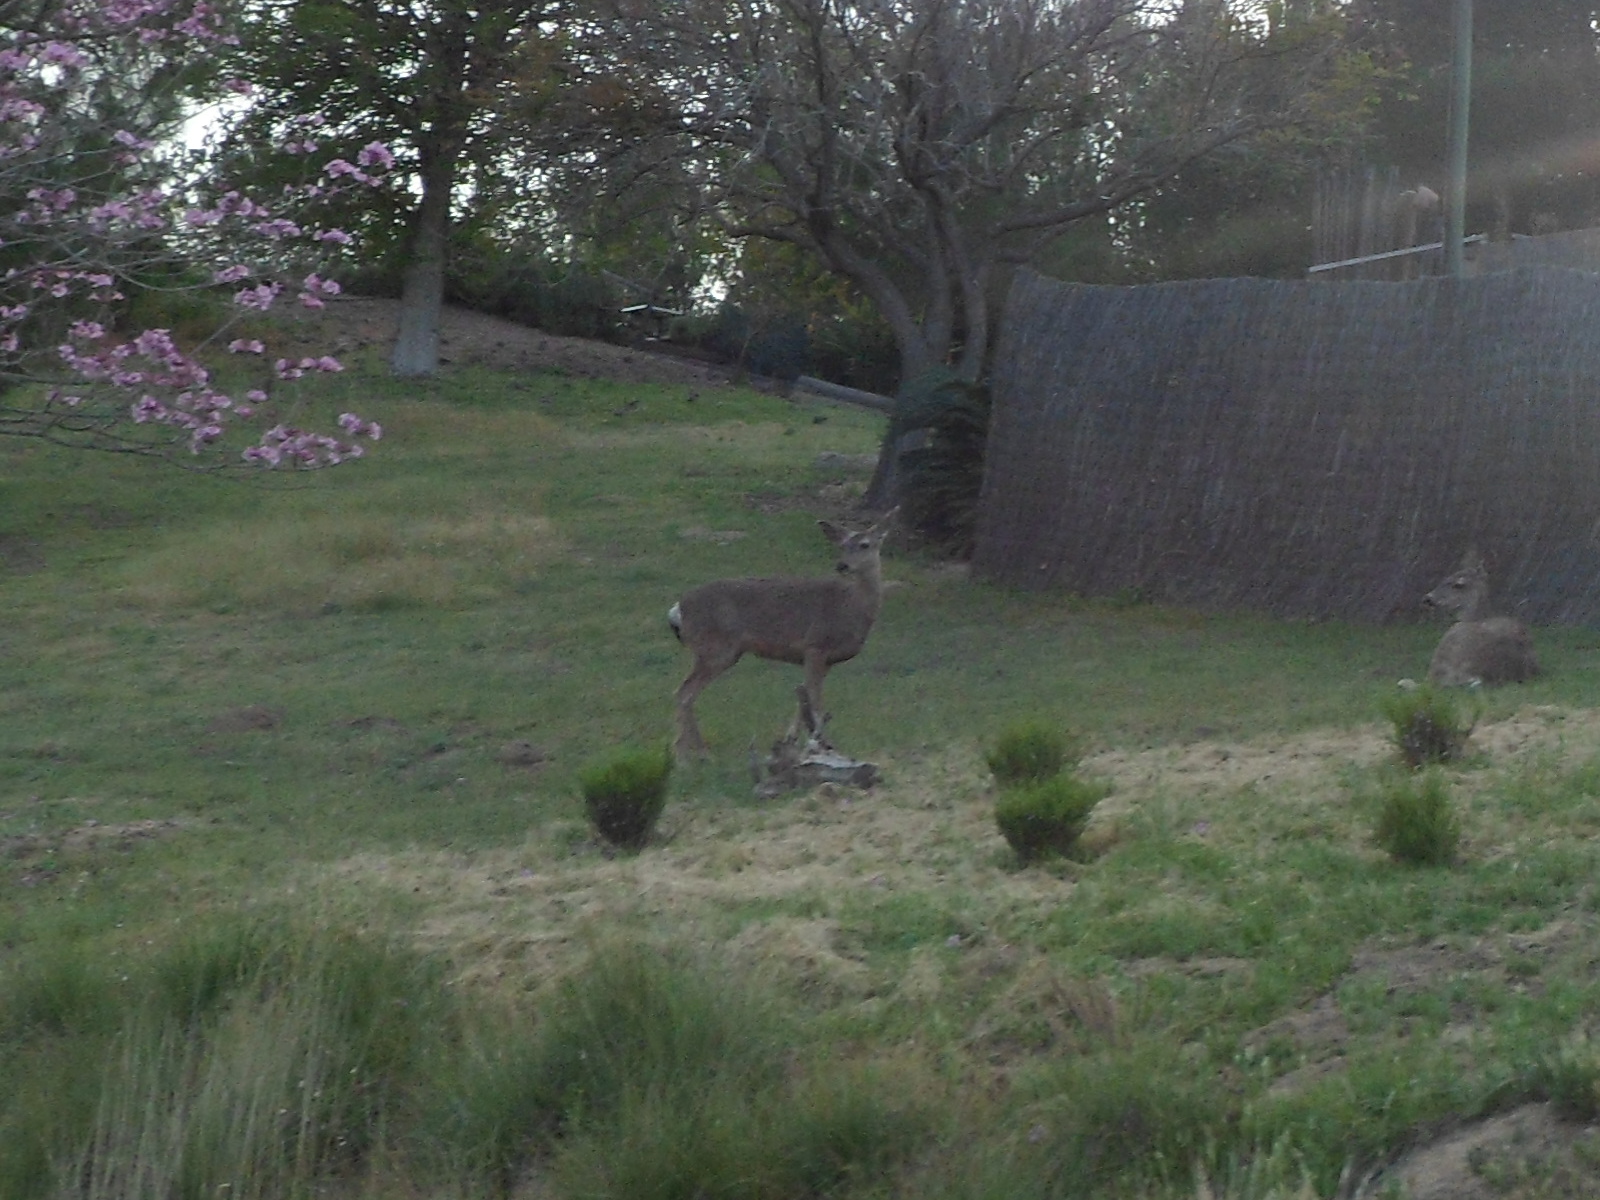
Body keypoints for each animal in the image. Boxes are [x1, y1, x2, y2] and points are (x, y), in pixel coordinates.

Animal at [668, 508, 897, 760]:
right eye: (842, 546)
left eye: (865, 544)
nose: (842, 565)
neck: (853, 607)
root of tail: (678, 609)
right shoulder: (815, 645)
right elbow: (815, 702)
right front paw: (817, 745)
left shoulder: (825, 660)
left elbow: (804, 699)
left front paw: (792, 741)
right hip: (716, 648)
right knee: (684, 692)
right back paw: (688, 754)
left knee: (684, 692)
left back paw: (692, 751)